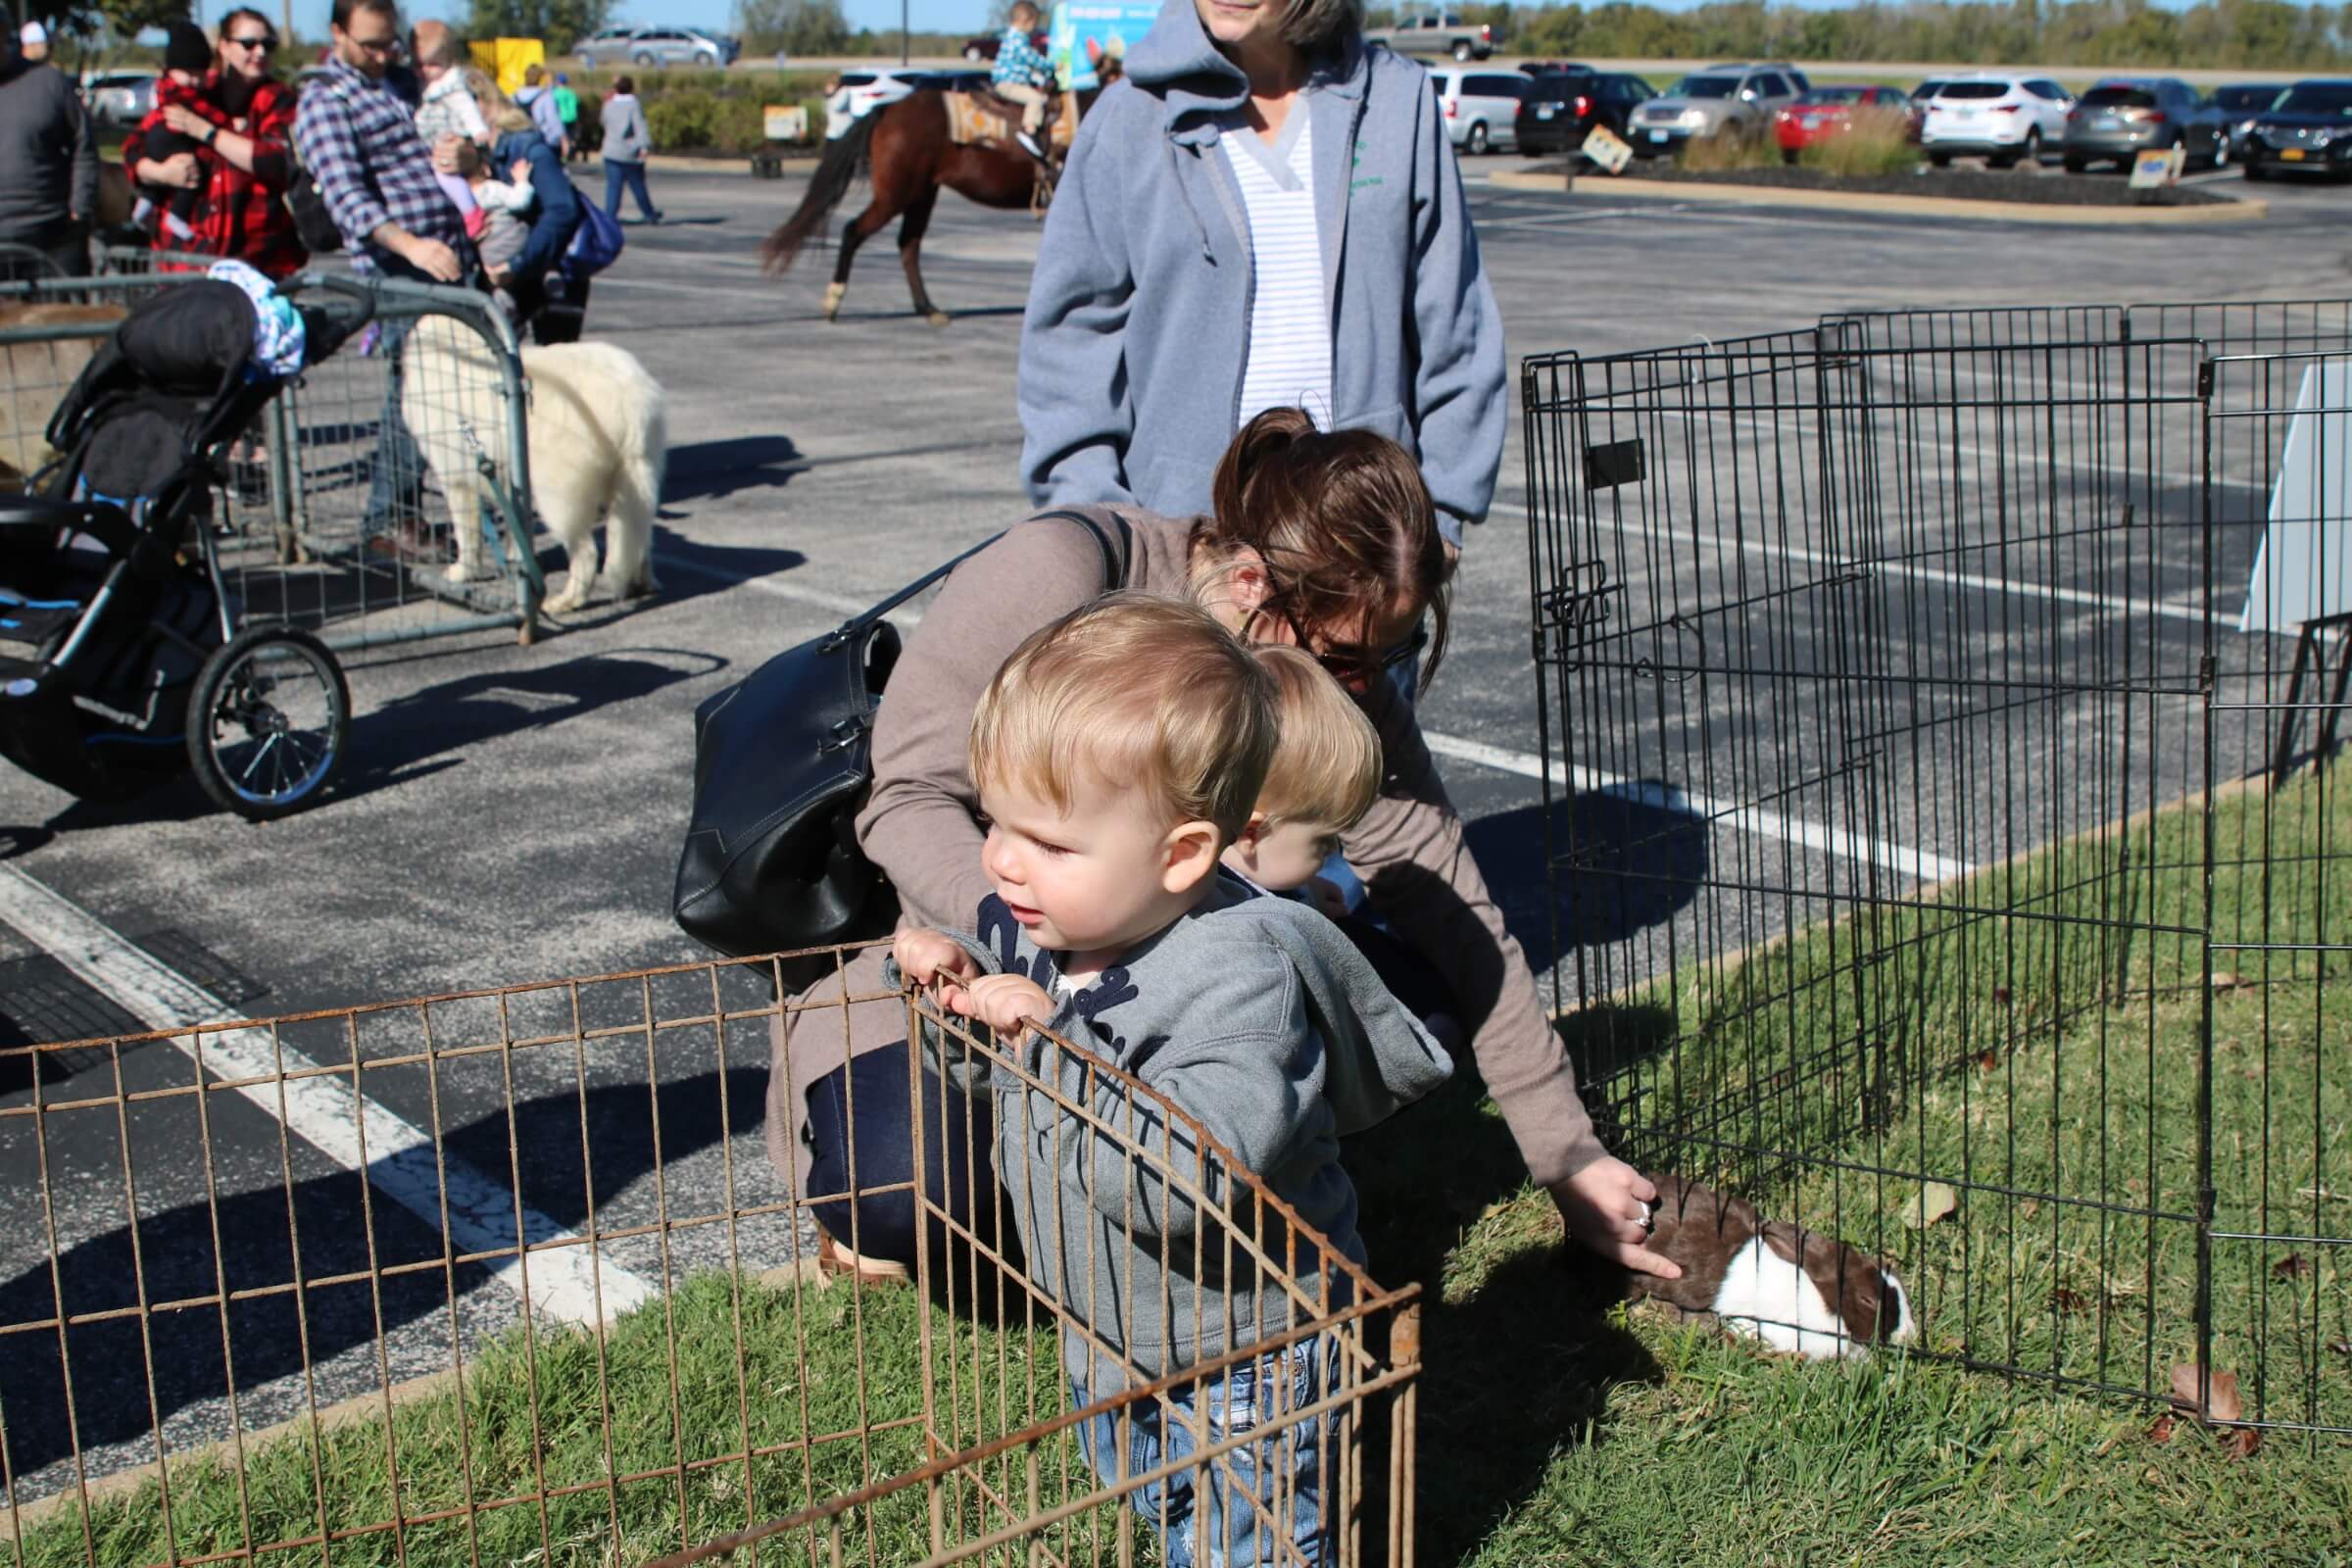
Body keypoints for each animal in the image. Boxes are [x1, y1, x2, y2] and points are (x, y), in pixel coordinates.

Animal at [397, 314, 666, 614]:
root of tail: (628, 400)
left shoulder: (457, 479)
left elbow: (467, 534)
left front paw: (461, 573)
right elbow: (516, 530)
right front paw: (517, 563)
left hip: (558, 493)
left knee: (586, 553)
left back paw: (563, 602)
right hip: (636, 478)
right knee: (639, 537)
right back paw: (642, 584)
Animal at [759, 82, 1108, 326]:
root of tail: (886, 110)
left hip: (922, 194)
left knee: (908, 244)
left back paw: (928, 308)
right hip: (896, 194)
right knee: (854, 231)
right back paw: (833, 302)